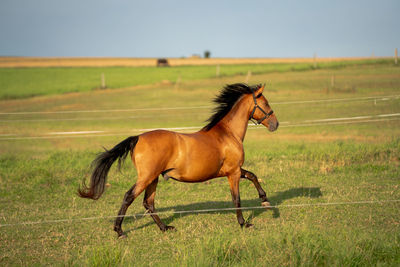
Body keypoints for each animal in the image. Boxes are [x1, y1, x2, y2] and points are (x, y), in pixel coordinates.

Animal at [78, 84, 278, 239]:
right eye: (266, 103)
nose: (275, 124)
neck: (228, 134)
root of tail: (138, 138)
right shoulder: (233, 172)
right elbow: (236, 198)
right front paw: (244, 223)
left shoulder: (234, 170)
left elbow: (252, 175)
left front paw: (265, 200)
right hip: (147, 177)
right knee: (129, 197)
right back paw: (119, 231)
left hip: (153, 178)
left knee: (148, 202)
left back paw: (165, 228)